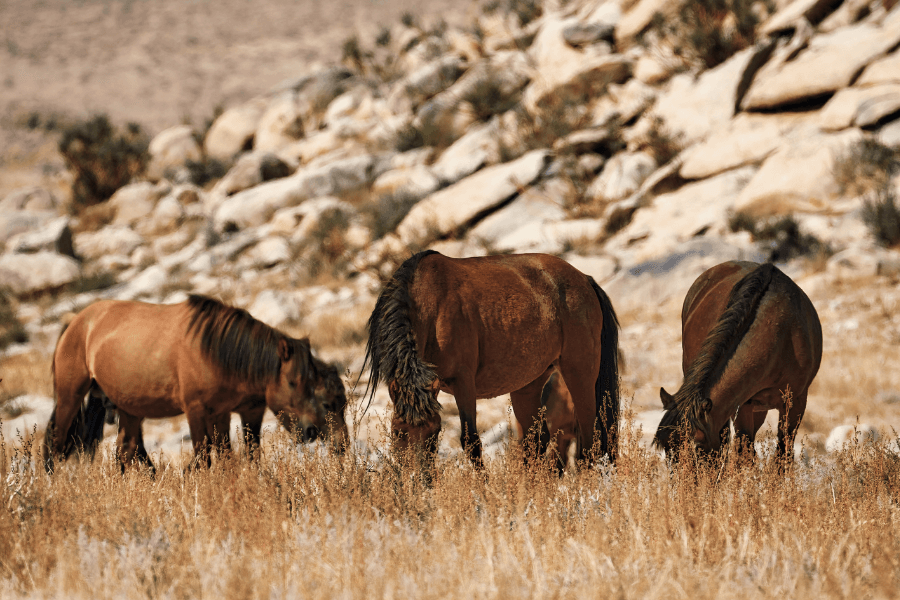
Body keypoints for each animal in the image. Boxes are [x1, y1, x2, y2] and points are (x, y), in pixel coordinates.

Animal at [44, 292, 326, 472]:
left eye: (313, 383)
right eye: (292, 382)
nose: (312, 430)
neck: (215, 351)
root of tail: (76, 321)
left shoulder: (235, 412)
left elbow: (239, 456)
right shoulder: (196, 410)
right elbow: (204, 458)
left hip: (130, 409)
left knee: (126, 451)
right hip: (70, 397)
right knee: (55, 447)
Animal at [362, 250, 624, 468]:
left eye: (435, 432)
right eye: (398, 432)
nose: (417, 479)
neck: (430, 305)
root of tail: (584, 279)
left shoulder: (463, 383)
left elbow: (471, 442)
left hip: (580, 373)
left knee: (590, 440)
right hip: (529, 385)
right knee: (537, 442)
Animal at [652, 260, 824, 462]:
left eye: (697, 444)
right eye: (667, 449)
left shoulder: (796, 401)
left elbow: (783, 454)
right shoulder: (743, 404)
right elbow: (744, 453)